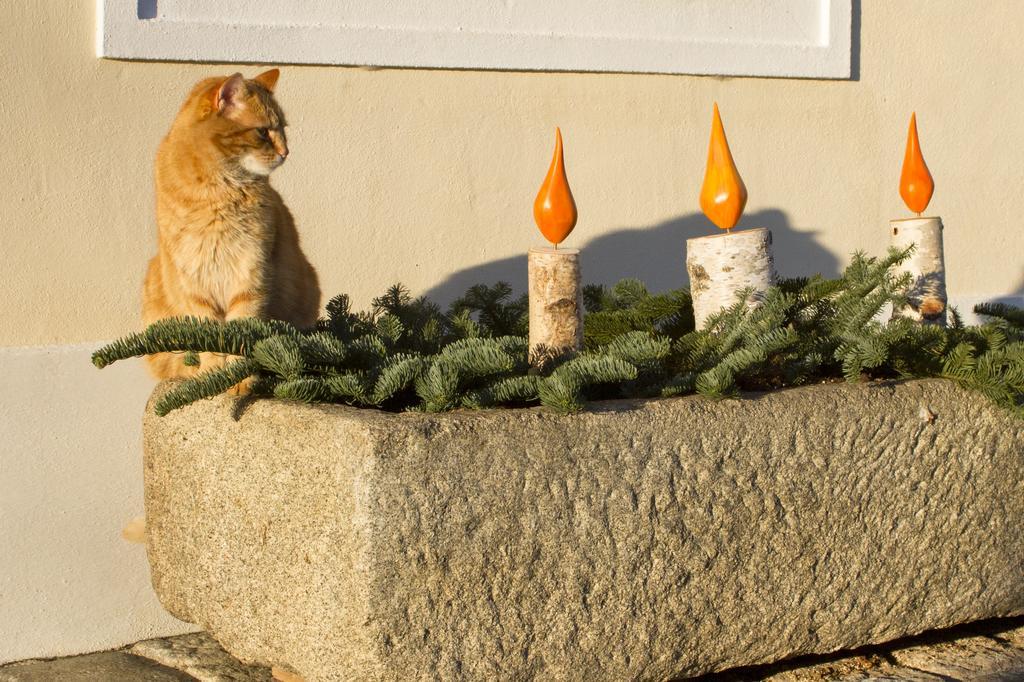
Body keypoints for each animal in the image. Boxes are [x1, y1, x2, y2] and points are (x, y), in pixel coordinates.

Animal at [142, 69, 319, 378]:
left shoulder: (251, 272)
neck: (218, 191)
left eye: (283, 128)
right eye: (263, 132)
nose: (286, 152)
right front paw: (215, 376)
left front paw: (238, 378)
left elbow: (241, 330)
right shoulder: (195, 282)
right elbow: (210, 338)